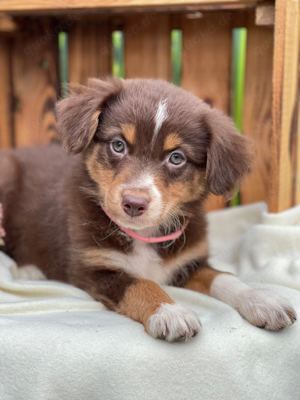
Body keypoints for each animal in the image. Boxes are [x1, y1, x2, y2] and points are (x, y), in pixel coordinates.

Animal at [0, 79, 296, 340]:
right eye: (118, 145)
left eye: (176, 158)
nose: (134, 203)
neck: (144, 235)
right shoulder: (92, 269)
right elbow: (141, 284)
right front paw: (170, 312)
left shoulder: (188, 262)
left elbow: (224, 277)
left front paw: (261, 299)